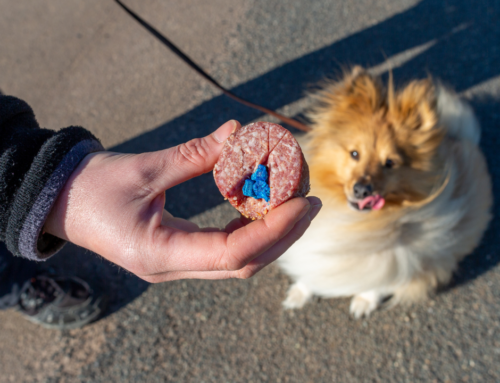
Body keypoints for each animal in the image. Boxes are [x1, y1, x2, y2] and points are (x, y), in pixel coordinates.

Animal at [278, 66, 492, 318]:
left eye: (390, 163)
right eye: (354, 154)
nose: (361, 190)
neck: (356, 221)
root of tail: (462, 137)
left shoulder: (397, 260)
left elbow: (378, 284)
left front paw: (364, 302)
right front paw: (300, 292)